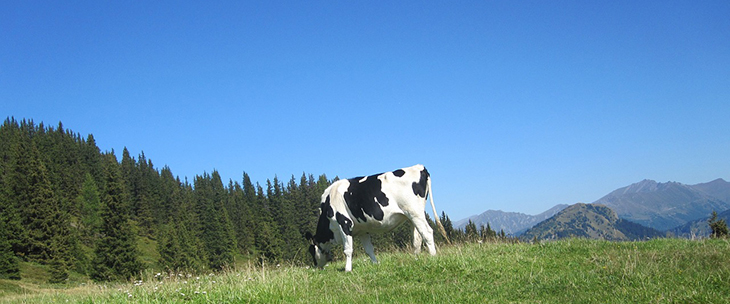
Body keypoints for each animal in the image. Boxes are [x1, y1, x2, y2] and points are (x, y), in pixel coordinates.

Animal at [302, 165, 450, 272]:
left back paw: (433, 257)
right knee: (417, 238)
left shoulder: (344, 223)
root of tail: (420, 167)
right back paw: (416, 259)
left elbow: (348, 249)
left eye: (311, 251)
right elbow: (369, 249)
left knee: (427, 233)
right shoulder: (362, 230)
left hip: (415, 212)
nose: (316, 267)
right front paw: (375, 264)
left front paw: (348, 269)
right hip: (412, 216)